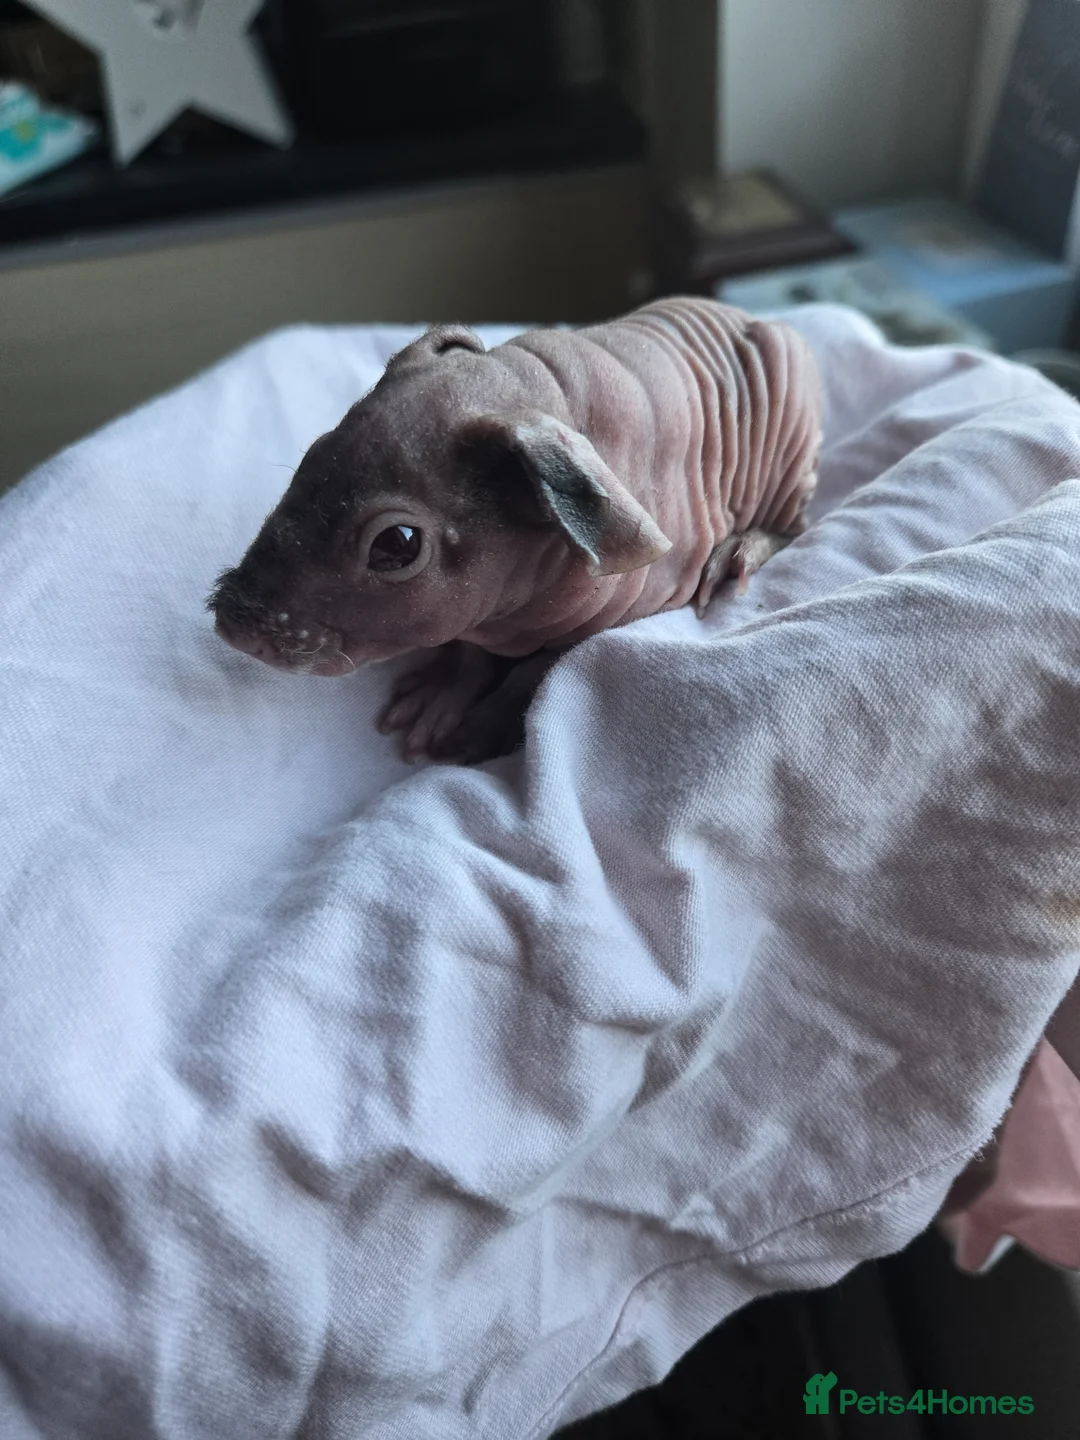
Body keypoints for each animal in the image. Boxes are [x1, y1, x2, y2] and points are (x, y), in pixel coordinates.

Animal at [207, 296, 823, 764]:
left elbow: (537, 670)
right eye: (312, 457)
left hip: (793, 435)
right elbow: (470, 649)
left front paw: (477, 732)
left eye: (397, 545)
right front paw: (440, 696)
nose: (233, 619)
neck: (531, 391)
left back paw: (739, 551)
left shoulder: (625, 607)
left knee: (795, 523)